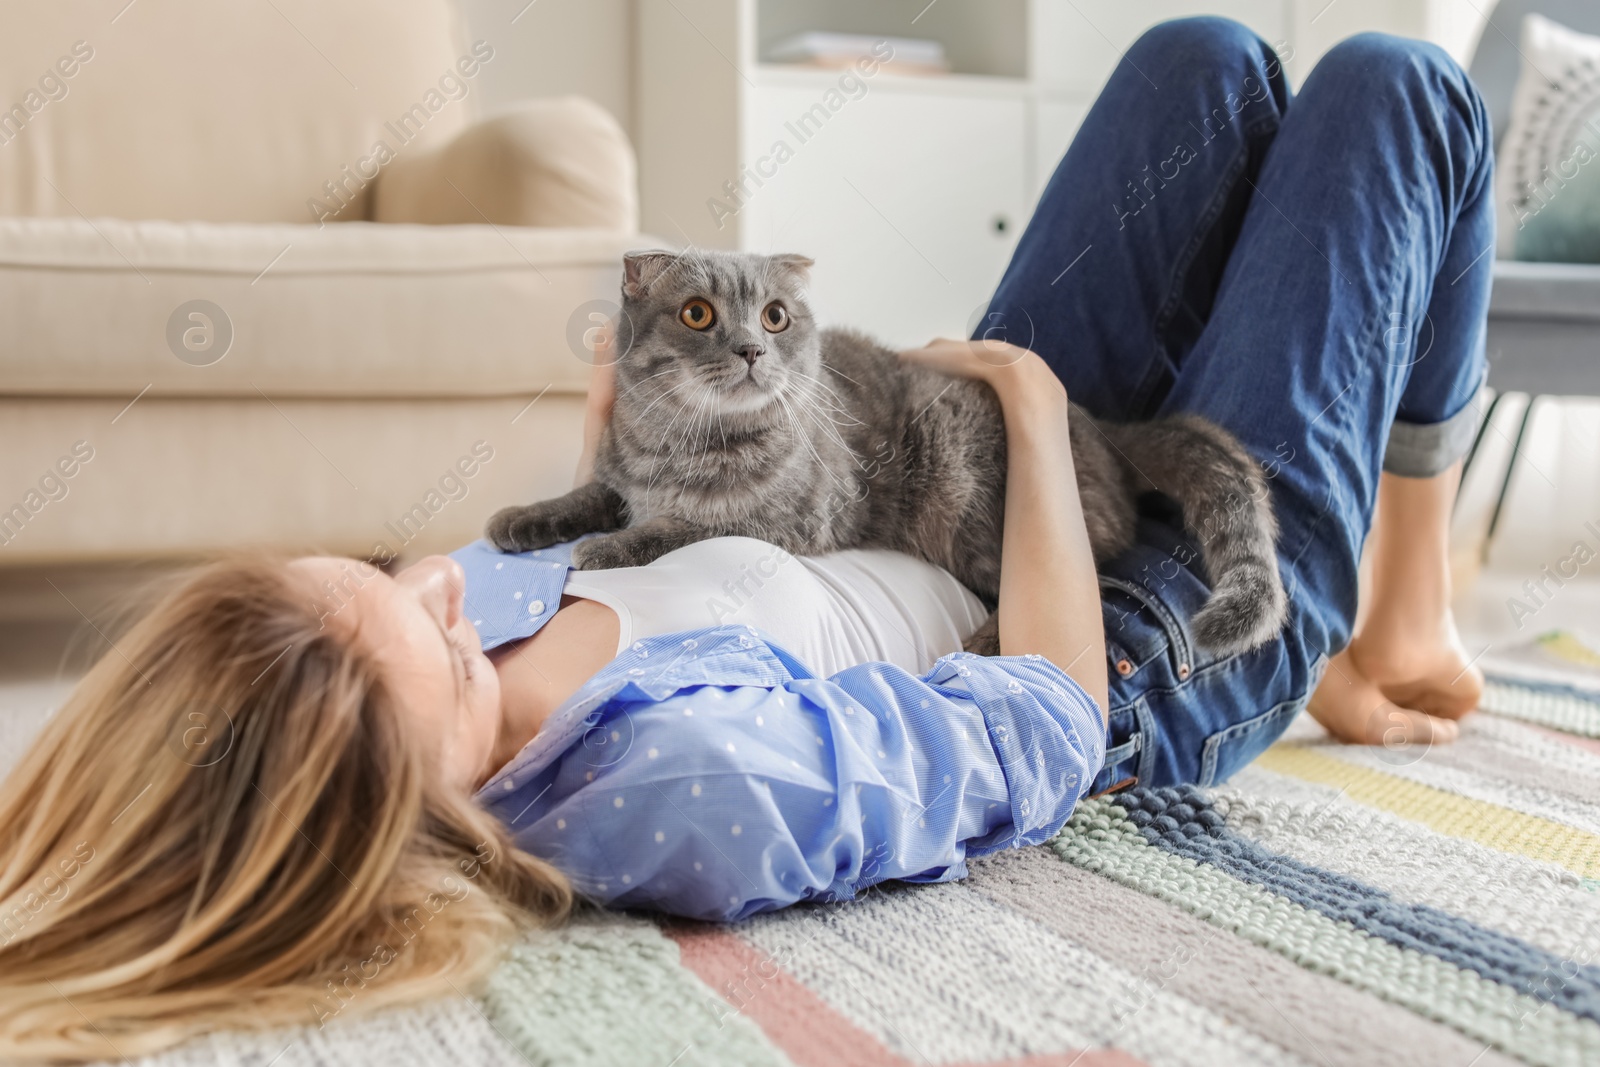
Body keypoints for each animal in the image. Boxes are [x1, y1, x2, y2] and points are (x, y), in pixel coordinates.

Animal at [483, 247, 1286, 659]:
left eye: (776, 317)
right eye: (698, 314)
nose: (750, 349)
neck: (678, 442)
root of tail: (1098, 426)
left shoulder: (788, 522)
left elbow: (677, 527)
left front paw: (608, 547)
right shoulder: (619, 473)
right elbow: (590, 494)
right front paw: (523, 518)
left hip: (962, 495)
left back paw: (983, 641)